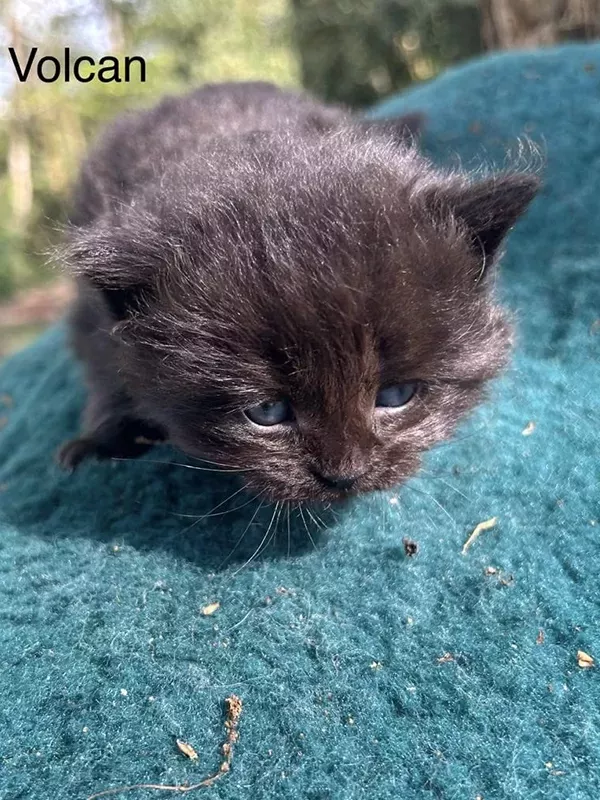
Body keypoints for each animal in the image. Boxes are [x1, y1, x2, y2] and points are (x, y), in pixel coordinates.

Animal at [58, 79, 540, 500]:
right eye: (266, 412)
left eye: (396, 396)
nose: (345, 476)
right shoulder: (92, 317)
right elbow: (104, 370)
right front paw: (100, 439)